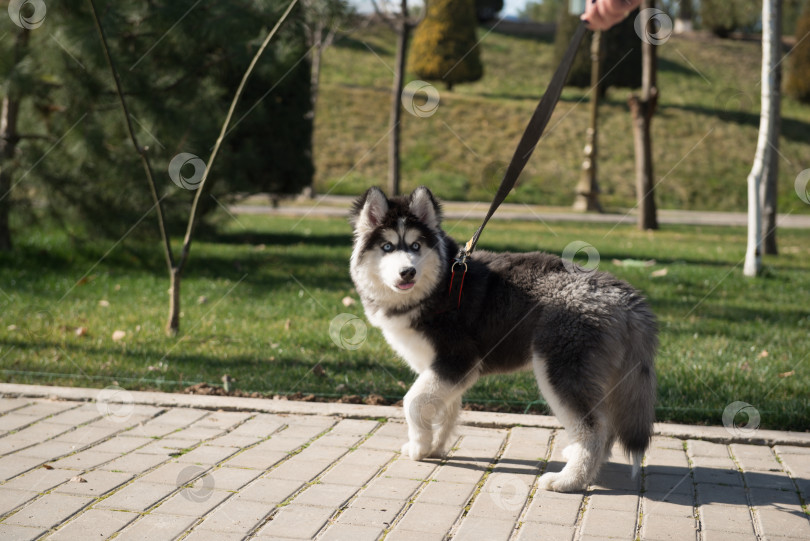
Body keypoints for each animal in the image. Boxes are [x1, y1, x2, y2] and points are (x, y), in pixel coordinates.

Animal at [348, 187, 656, 494]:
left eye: (415, 246)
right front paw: (435, 446)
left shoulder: (458, 360)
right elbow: (443, 409)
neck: (437, 286)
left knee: (595, 427)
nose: (407, 272)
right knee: (605, 423)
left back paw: (569, 480)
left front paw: (419, 446)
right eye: (387, 247)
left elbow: (413, 402)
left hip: (560, 370)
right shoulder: (443, 369)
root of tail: (622, 293)